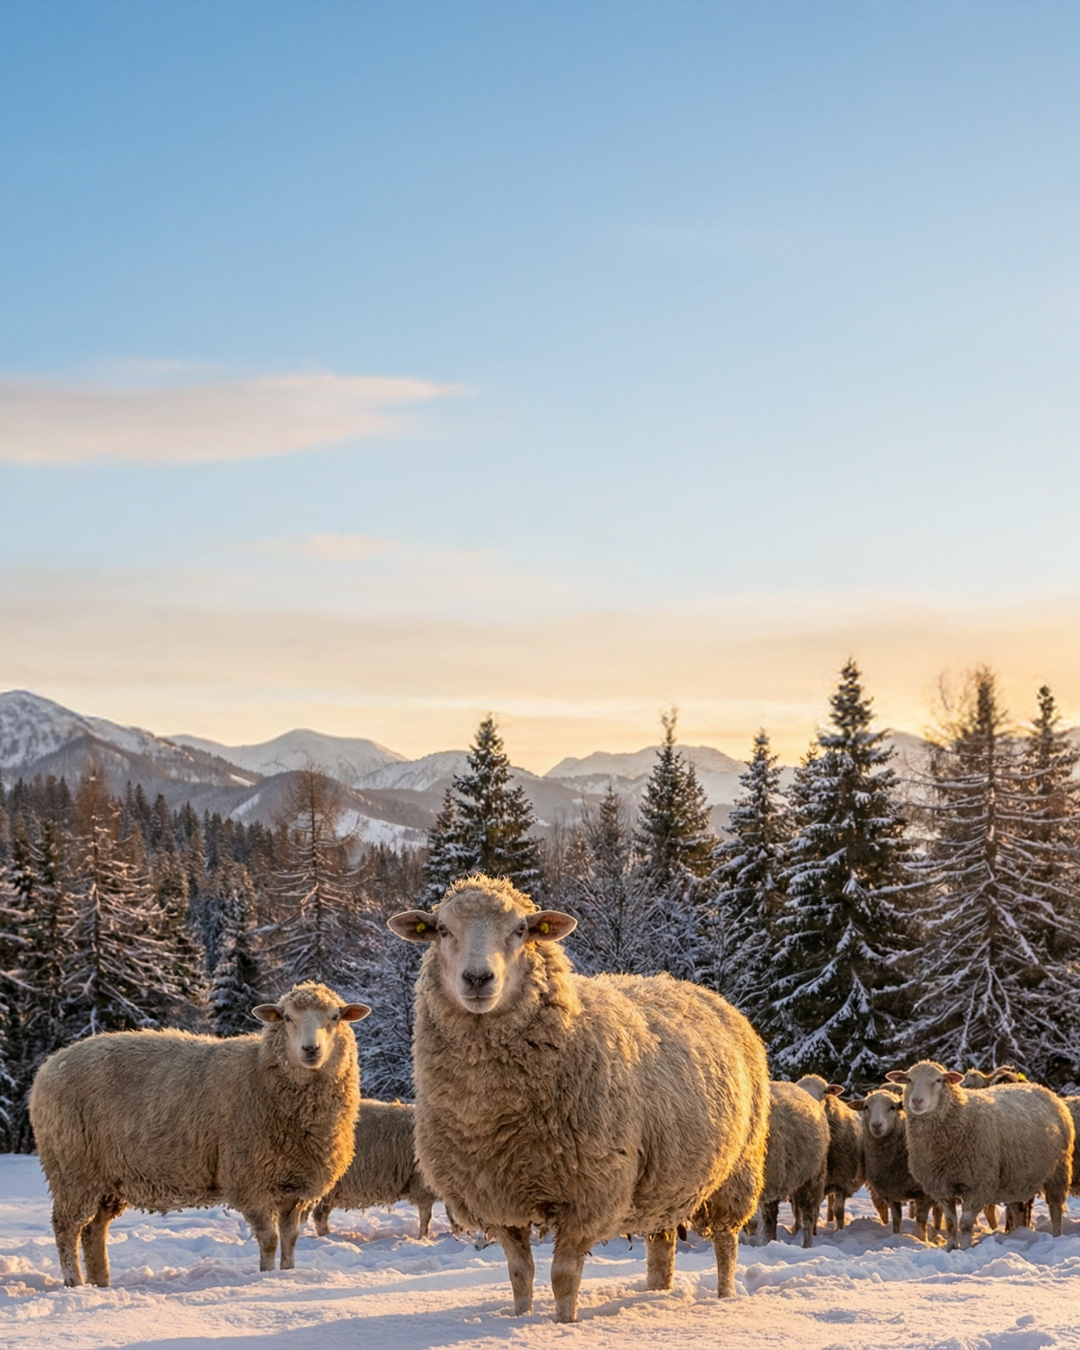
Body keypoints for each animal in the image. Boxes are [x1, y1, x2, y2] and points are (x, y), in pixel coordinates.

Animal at [30, 981, 368, 1287]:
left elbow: (291, 1239)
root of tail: (48, 1067)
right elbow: (270, 1240)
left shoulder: (292, 1185)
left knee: (93, 1230)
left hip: (105, 1178)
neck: (262, 1073)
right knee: (66, 1228)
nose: (310, 1050)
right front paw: (266, 1277)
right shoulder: (249, 1181)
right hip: (72, 1170)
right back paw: (75, 1283)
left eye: (335, 1017)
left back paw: (102, 1282)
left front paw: (287, 1274)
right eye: (286, 1018)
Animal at [388, 875, 770, 1324]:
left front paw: (562, 1325)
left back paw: (724, 1299)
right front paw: (520, 1319)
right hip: (665, 1179)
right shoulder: (496, 1196)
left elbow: (563, 1277)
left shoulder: (589, 1194)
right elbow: (520, 1273)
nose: (478, 978)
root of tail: (689, 986)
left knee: (726, 1244)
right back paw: (655, 1294)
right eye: (443, 930)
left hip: (737, 1171)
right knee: (662, 1246)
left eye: (521, 930)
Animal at [795, 1076, 864, 1230]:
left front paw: (840, 1230)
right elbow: (813, 1211)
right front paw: (812, 1231)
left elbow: (839, 1211)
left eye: (825, 1091)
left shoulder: (842, 1180)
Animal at [848, 1089, 933, 1240]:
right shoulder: (892, 1192)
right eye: (866, 1107)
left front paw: (922, 1240)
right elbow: (897, 1220)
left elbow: (921, 1220)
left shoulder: (924, 1193)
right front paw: (896, 1236)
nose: (876, 1125)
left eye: (892, 1107)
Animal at [886, 1060, 1074, 1251]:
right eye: (909, 1080)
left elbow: (965, 1224)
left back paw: (1056, 1235)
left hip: (1058, 1171)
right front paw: (951, 1248)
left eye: (938, 1080)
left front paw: (965, 1249)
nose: (916, 1101)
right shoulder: (943, 1186)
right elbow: (951, 1223)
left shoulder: (977, 1185)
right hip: (1017, 1177)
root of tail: (1043, 1089)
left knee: (1055, 1208)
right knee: (1017, 1209)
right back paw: (1018, 1234)